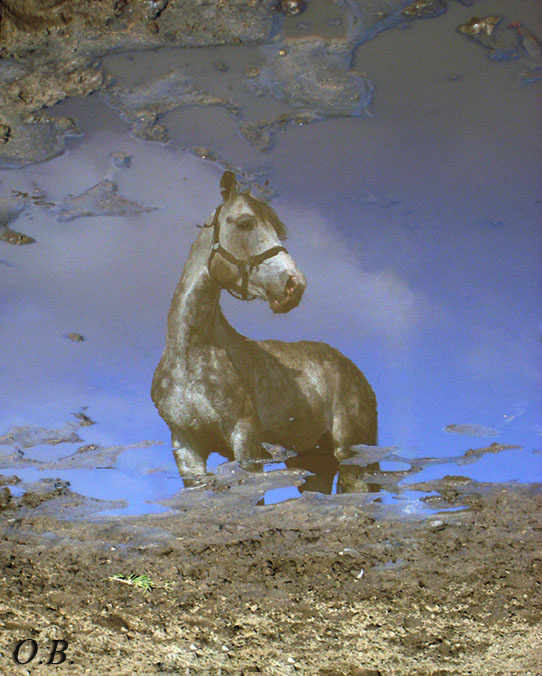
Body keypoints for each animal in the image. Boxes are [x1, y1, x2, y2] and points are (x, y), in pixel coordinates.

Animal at [151, 171, 377, 480]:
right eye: (246, 223)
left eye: (278, 230)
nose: (295, 285)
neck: (191, 355)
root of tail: (355, 372)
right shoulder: (186, 449)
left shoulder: (246, 442)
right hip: (312, 464)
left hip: (352, 456)